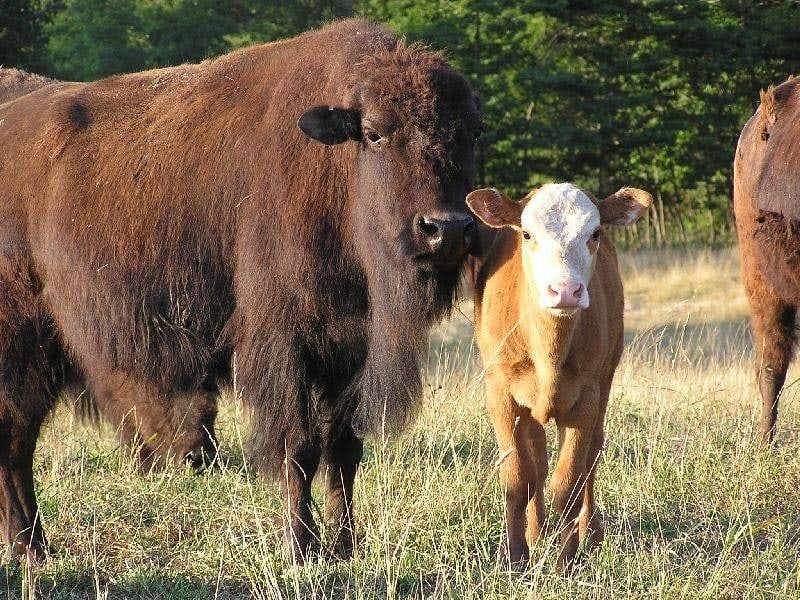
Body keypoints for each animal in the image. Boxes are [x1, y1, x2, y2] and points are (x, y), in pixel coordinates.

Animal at [0, 19, 478, 564]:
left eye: (472, 132)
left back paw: (30, 548)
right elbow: (300, 447)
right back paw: (31, 548)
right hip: (25, 346)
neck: (333, 171)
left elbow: (343, 451)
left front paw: (345, 547)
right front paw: (301, 547)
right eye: (375, 133)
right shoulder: (286, 347)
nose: (447, 228)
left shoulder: (349, 351)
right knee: (15, 441)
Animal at [468, 185, 648, 568]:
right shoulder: (500, 395)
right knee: (537, 457)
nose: (564, 290)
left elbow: (568, 484)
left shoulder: (586, 398)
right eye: (526, 234)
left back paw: (591, 535)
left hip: (605, 379)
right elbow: (518, 479)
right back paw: (537, 534)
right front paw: (516, 557)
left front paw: (567, 561)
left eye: (595, 233)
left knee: (591, 456)